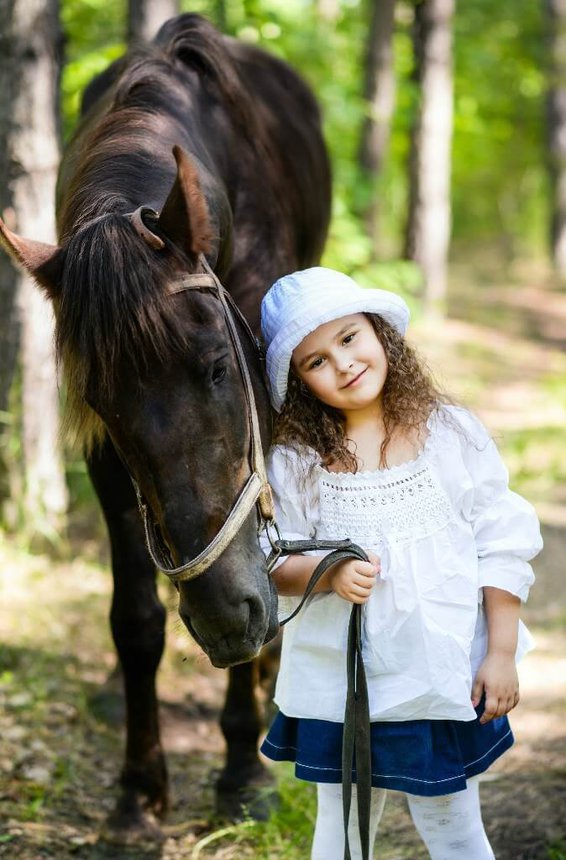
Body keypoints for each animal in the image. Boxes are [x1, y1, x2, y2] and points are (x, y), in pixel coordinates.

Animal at [0, 13, 332, 844]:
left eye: (216, 366)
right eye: (102, 402)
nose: (221, 618)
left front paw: (243, 773)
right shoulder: (106, 463)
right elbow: (135, 620)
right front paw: (135, 795)